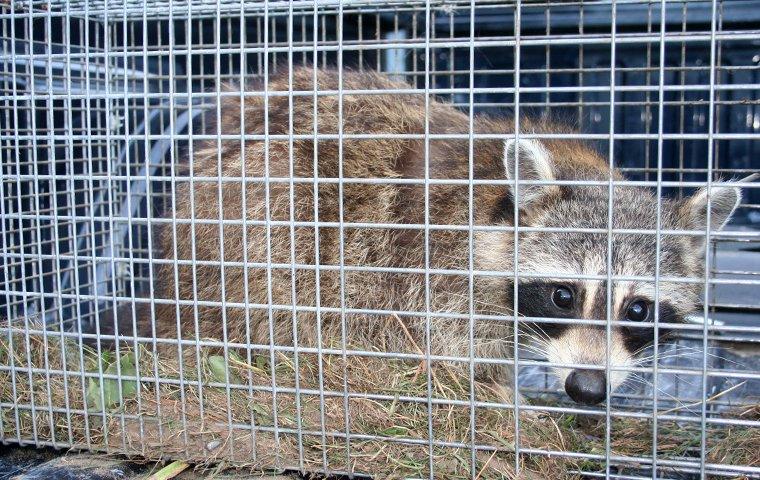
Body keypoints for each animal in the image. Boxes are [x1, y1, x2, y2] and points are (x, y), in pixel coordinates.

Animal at [153, 67, 744, 404]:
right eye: (563, 295)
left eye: (639, 309)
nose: (587, 389)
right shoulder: (439, 268)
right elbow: (449, 345)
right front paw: (500, 394)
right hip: (256, 215)